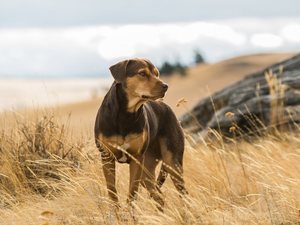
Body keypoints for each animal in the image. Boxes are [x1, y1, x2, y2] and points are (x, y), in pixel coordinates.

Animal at [94, 58, 188, 209]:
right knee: (159, 196)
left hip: (172, 163)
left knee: (183, 194)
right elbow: (112, 192)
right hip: (147, 170)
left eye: (157, 73)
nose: (165, 86)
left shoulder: (136, 159)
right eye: (142, 73)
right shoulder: (107, 157)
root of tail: (166, 107)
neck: (126, 114)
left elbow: (132, 193)